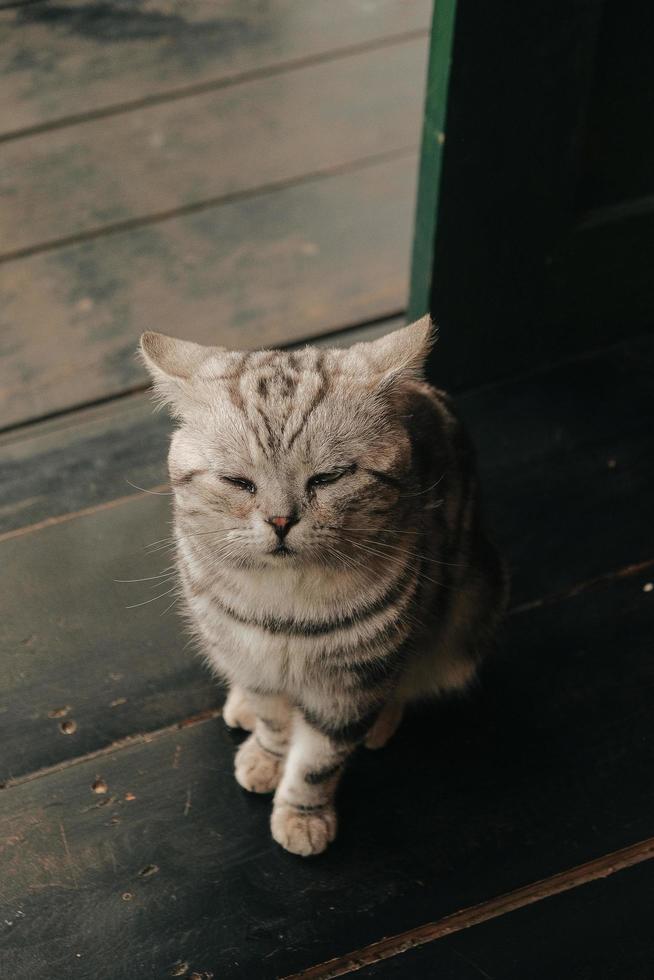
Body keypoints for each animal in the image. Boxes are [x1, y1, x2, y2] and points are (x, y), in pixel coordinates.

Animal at [138, 322, 508, 856]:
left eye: (328, 477)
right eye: (238, 482)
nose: (280, 521)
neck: (283, 605)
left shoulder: (350, 686)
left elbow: (317, 763)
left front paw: (303, 815)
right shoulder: (256, 659)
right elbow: (274, 724)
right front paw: (267, 756)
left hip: (465, 616)